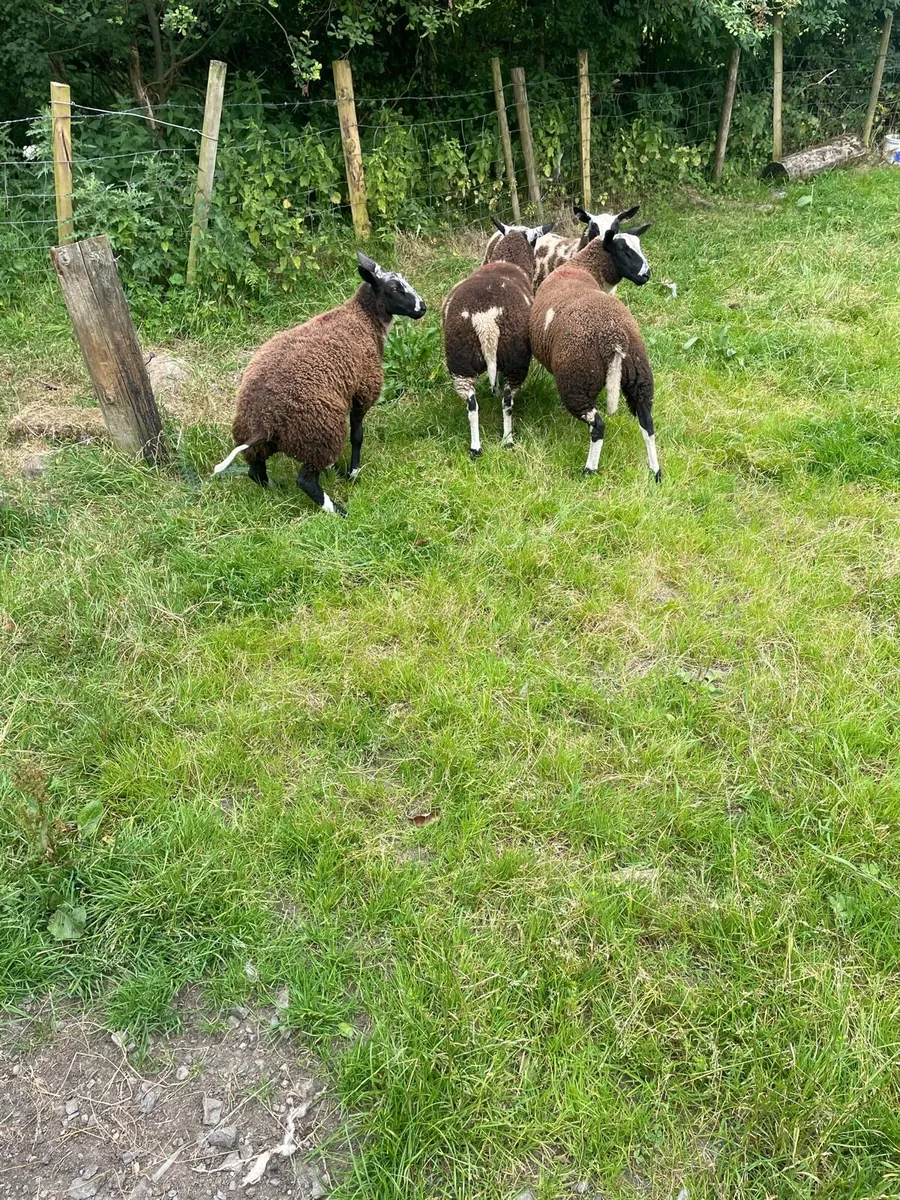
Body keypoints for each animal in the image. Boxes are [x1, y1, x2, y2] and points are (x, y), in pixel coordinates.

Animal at [213, 252, 426, 515]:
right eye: (394, 288)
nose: (422, 307)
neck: (363, 320)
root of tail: (265, 421)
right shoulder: (362, 392)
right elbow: (357, 435)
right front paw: (353, 473)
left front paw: (339, 470)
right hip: (320, 432)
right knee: (305, 481)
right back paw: (339, 511)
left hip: (264, 442)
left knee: (256, 472)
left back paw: (278, 489)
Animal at [442, 218, 553, 457]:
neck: (508, 260)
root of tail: (486, 322)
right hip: (515, 358)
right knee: (508, 401)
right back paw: (507, 439)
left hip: (460, 359)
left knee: (472, 405)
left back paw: (475, 447)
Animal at [529, 213, 661, 482]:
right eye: (623, 250)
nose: (646, 274)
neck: (581, 266)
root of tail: (615, 341)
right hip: (640, 377)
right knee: (647, 422)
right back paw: (655, 471)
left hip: (577, 379)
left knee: (598, 425)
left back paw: (590, 469)